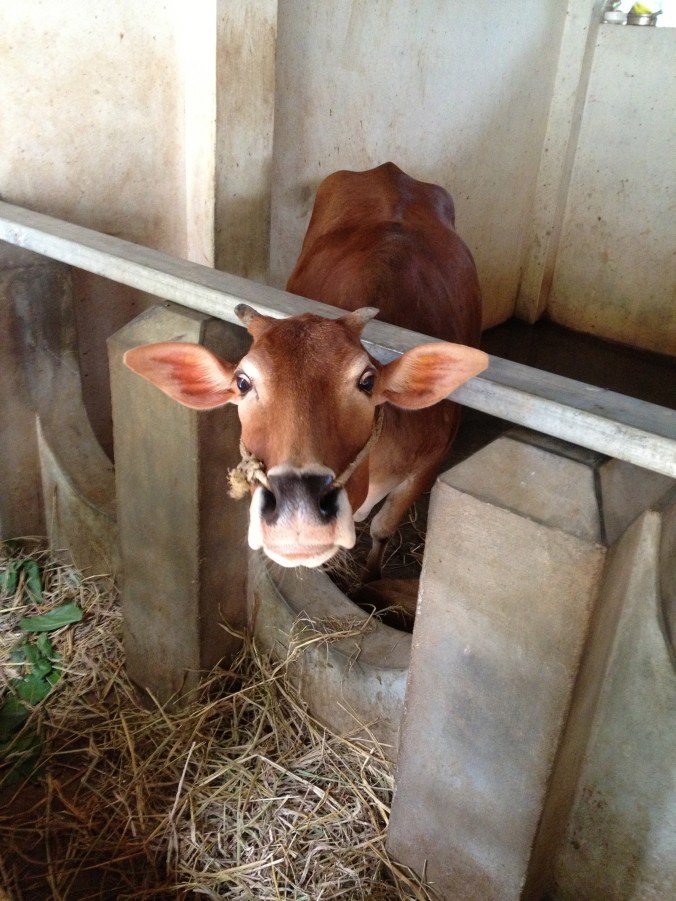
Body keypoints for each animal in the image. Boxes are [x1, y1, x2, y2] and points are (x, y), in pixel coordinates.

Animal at [124, 162, 487, 577]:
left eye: (367, 381)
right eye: (243, 382)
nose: (298, 511)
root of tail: (391, 171)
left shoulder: (429, 464)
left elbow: (382, 528)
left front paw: (369, 577)